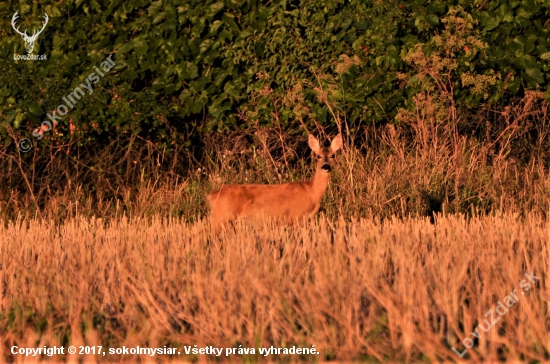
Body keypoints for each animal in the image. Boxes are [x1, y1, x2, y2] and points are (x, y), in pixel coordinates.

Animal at [208, 132, 342, 232]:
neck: (311, 192)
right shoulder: (295, 217)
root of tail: (212, 195)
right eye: (318, 156)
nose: (326, 166)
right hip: (220, 218)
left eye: (333, 155)